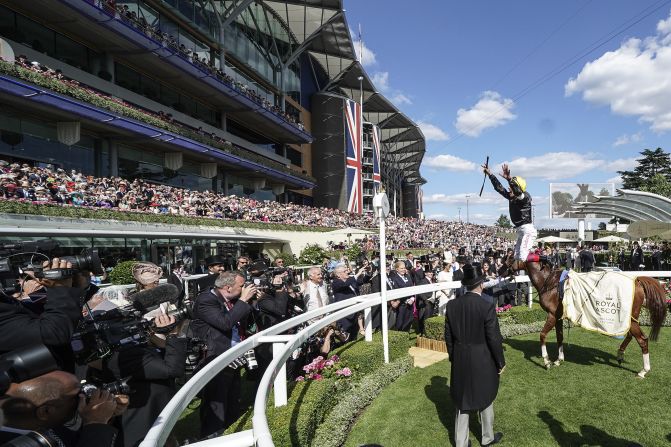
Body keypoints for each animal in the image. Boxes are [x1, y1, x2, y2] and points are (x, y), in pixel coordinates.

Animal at [504, 260, 668, 378]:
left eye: (508, 256)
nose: (501, 270)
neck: (550, 283)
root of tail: (637, 280)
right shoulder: (558, 317)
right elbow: (559, 337)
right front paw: (558, 359)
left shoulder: (551, 315)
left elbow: (543, 335)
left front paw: (546, 361)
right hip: (630, 319)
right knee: (630, 335)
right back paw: (620, 354)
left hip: (628, 318)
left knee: (642, 339)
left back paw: (643, 370)